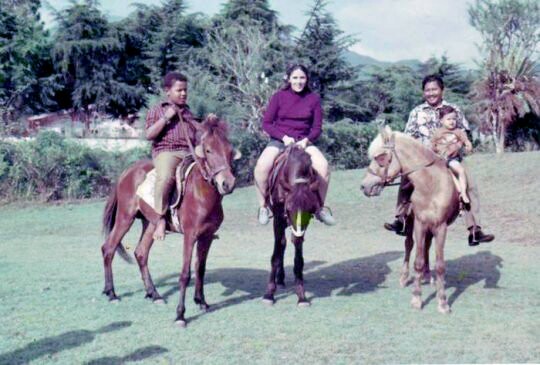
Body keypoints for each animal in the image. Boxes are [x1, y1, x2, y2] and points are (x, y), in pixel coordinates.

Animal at [102, 116, 240, 324]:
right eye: (208, 150)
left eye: (230, 150)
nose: (227, 183)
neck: (200, 193)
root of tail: (127, 172)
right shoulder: (190, 236)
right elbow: (185, 274)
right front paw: (180, 314)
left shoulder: (207, 236)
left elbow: (200, 268)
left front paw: (201, 301)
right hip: (125, 218)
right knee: (108, 248)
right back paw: (111, 293)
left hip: (150, 224)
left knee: (141, 253)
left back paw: (154, 294)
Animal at [262, 146, 320, 306]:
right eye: (288, 208)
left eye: (310, 209)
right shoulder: (278, 219)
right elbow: (276, 254)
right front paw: (269, 294)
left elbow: (298, 257)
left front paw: (301, 294)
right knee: (281, 244)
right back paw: (279, 279)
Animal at [358, 126, 460, 312]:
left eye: (381, 158)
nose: (364, 186)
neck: (431, 185)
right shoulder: (419, 223)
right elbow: (417, 261)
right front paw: (417, 298)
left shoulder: (440, 226)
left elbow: (440, 265)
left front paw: (442, 302)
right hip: (411, 222)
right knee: (409, 245)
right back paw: (404, 277)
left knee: (426, 246)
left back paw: (428, 276)